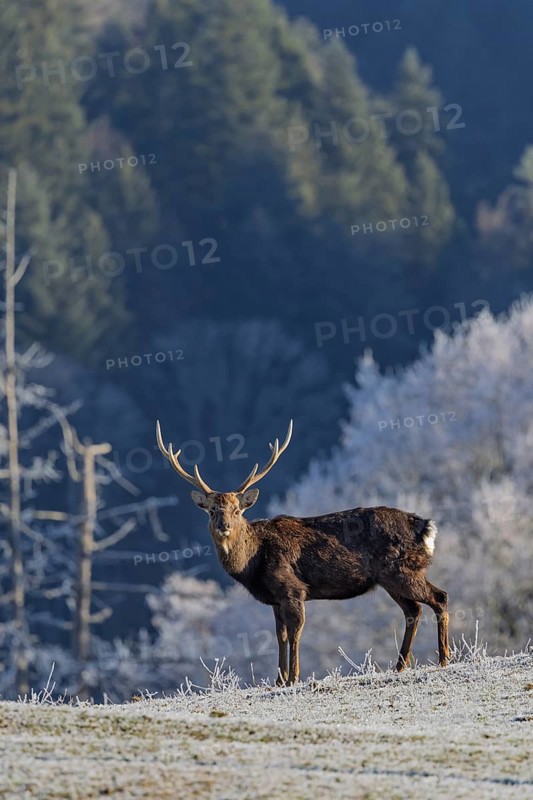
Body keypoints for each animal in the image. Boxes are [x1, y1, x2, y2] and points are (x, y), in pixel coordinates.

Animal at [156, 419, 449, 685]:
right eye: (212, 510)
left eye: (237, 510)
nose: (224, 526)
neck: (253, 562)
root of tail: (425, 526)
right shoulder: (275, 599)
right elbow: (280, 635)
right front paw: (278, 680)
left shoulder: (292, 588)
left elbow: (296, 632)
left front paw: (294, 677)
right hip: (391, 578)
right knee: (413, 610)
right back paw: (400, 665)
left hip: (401, 569)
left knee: (439, 597)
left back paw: (444, 659)